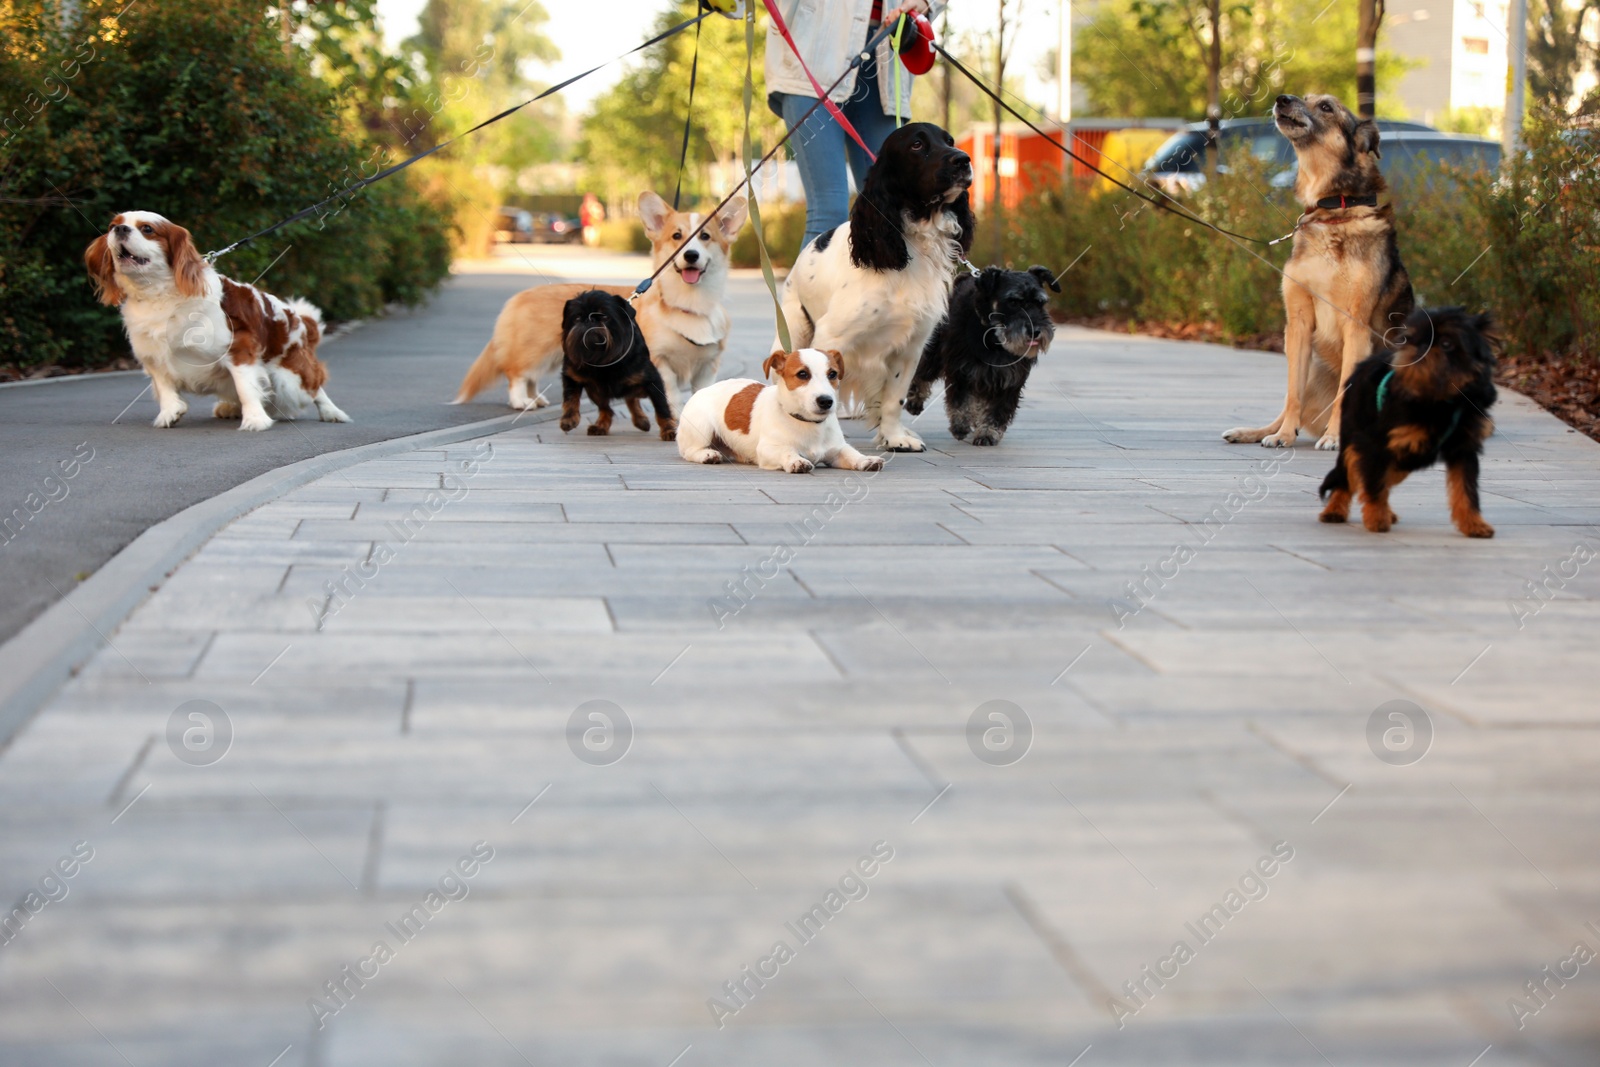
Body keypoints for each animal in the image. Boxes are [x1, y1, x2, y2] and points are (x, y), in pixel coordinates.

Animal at [454, 189, 745, 415]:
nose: (691, 255)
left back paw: (535, 399)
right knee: (516, 374)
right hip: (536, 351)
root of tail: (520, 296)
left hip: (549, 356)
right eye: (677, 236)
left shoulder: (707, 367)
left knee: (529, 378)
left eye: (705, 237)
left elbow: (703, 395)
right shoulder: (660, 363)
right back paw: (520, 401)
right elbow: (672, 394)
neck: (689, 304)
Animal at [560, 289, 678, 441]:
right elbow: (570, 398)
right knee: (607, 408)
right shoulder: (571, 376)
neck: (602, 360)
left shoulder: (653, 380)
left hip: (638, 387)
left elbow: (661, 407)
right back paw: (602, 425)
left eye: (605, 317)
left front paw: (668, 429)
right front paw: (569, 418)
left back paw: (640, 419)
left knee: (631, 397)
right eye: (577, 318)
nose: (589, 320)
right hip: (595, 391)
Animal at [902, 271, 1062, 451]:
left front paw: (987, 433)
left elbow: (997, 411)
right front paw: (960, 426)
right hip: (934, 354)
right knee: (921, 374)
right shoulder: (961, 371)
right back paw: (915, 401)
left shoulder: (1009, 380)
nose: (1035, 331)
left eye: (1040, 302)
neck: (993, 338)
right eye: (1013, 301)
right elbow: (960, 401)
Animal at [1222, 92, 1414, 454]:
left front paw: (1334, 437)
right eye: (1305, 98)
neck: (1334, 209)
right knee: (1288, 404)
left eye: (1326, 107)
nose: (1281, 98)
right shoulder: (1297, 323)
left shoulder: (1356, 325)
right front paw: (1284, 436)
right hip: (1313, 369)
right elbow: (1291, 396)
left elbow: (1343, 395)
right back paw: (1252, 431)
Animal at [1312, 307, 1497, 534]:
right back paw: (1335, 510)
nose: (1422, 346)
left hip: (1404, 459)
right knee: (1349, 472)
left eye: (1446, 343)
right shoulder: (1374, 444)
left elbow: (1466, 490)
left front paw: (1473, 524)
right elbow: (1373, 482)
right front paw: (1376, 518)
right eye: (1411, 339)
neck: (1440, 399)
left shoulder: (1463, 449)